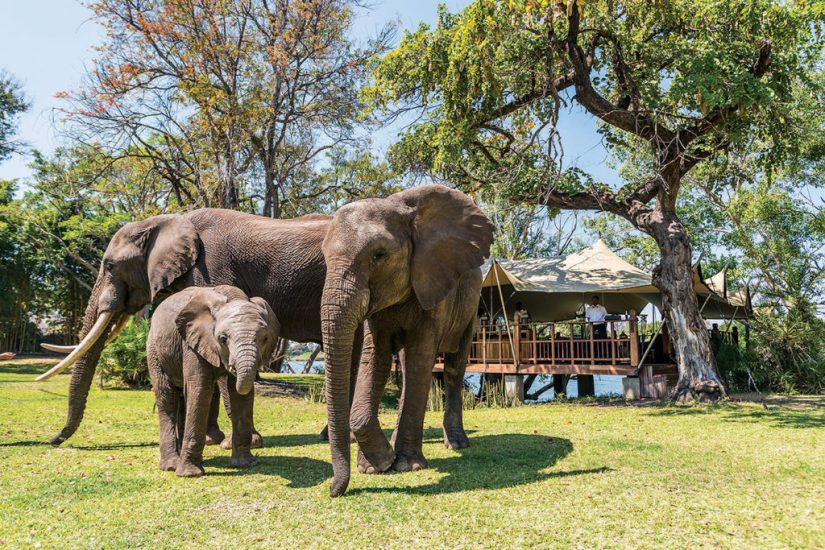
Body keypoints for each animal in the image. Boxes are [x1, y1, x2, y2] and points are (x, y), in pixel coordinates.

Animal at [37, 209, 338, 446]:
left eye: (110, 266)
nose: (51, 441)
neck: (166, 221)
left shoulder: (213, 267)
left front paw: (238, 443)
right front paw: (213, 439)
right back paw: (327, 436)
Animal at [146, 286, 278, 476]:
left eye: (264, 339)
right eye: (223, 339)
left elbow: (238, 394)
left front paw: (245, 464)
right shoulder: (192, 344)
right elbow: (200, 389)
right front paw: (190, 474)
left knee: (181, 398)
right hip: (154, 350)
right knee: (167, 397)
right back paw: (171, 466)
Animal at [320, 187, 490, 500]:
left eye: (379, 255)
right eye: (324, 258)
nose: (333, 491)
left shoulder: (433, 283)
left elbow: (419, 356)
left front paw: (404, 465)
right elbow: (376, 358)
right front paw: (376, 465)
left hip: (472, 304)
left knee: (453, 367)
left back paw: (456, 444)